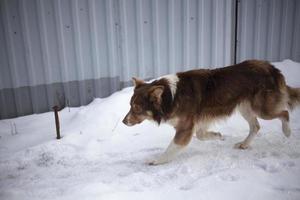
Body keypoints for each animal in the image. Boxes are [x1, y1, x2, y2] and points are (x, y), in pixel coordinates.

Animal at [122, 59, 300, 166]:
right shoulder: (198, 122)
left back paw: (287, 131)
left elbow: (172, 147)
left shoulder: (185, 128)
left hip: (261, 108)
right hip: (245, 107)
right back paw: (244, 144)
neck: (170, 97)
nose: (124, 122)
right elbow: (201, 135)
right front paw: (218, 136)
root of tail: (271, 67)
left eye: (136, 108)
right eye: (130, 105)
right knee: (256, 126)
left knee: (284, 113)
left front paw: (157, 160)